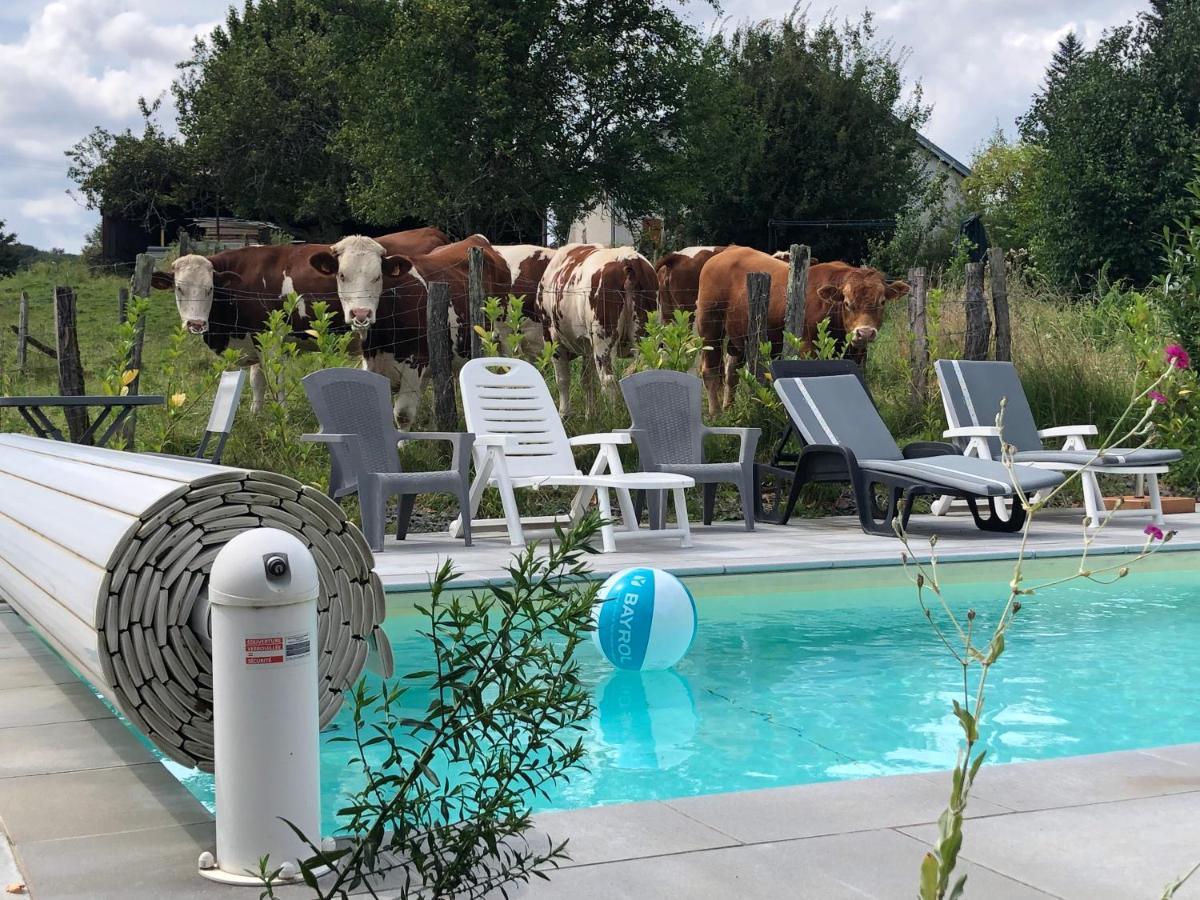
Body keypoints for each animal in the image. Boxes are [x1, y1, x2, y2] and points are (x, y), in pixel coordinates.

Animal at [540, 244, 662, 417]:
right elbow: (587, 380)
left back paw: (613, 417)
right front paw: (590, 415)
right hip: (645, 335)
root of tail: (625, 258)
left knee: (608, 380)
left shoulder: (552, 338)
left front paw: (564, 414)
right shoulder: (586, 344)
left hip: (603, 338)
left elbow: (562, 380)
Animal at [696, 248, 907, 415]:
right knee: (710, 371)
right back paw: (716, 414)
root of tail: (727, 251)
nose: (864, 332)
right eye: (847, 303)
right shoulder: (807, 347)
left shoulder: (858, 354)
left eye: (882, 302)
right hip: (710, 327)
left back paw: (728, 408)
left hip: (738, 337)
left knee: (731, 371)